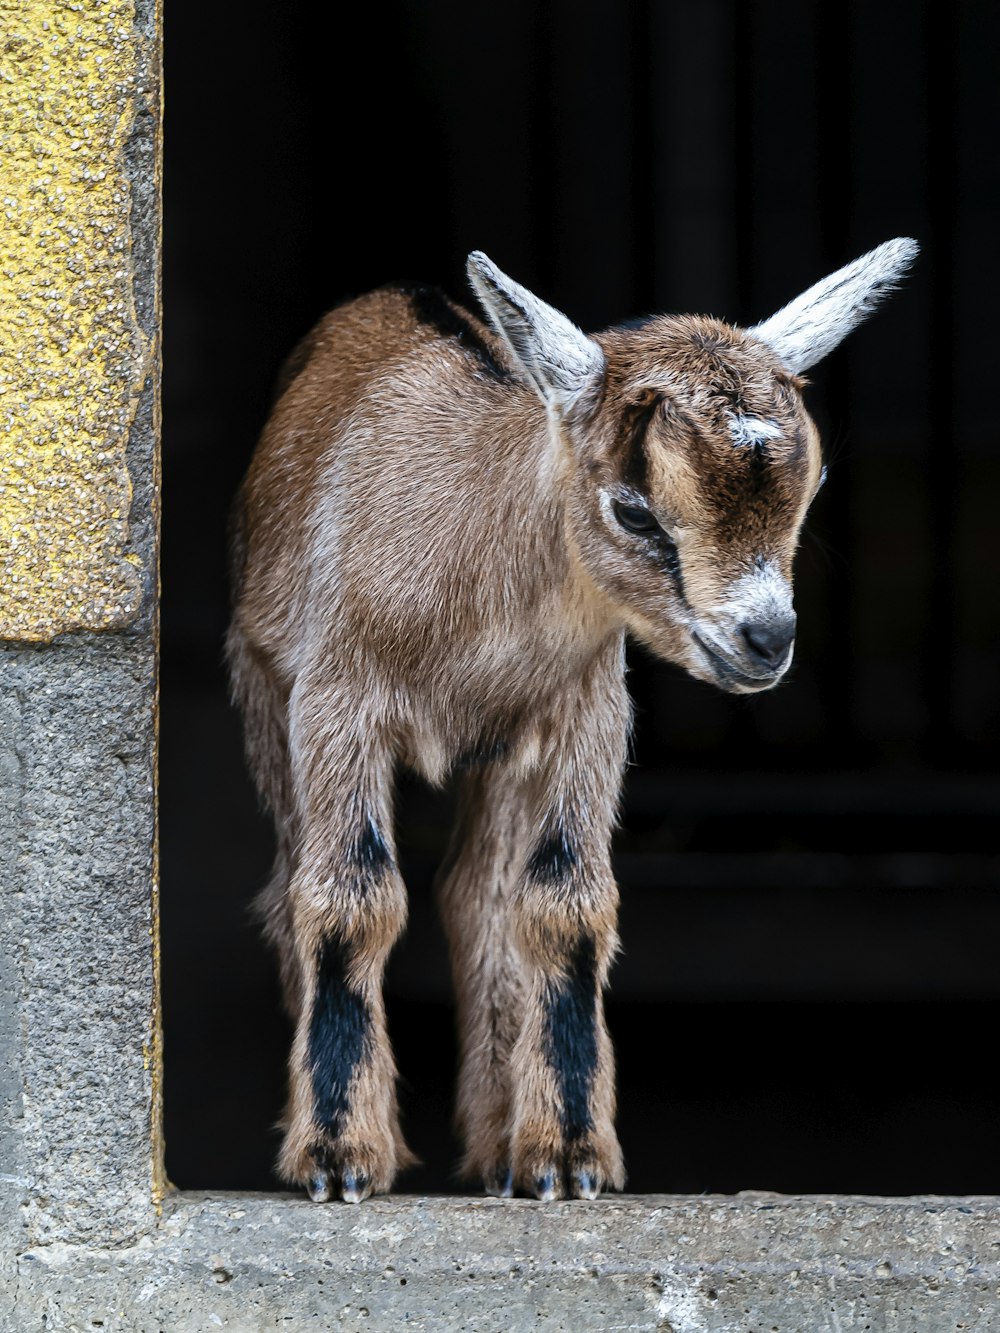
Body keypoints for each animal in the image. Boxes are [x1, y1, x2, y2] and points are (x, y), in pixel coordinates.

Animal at [230, 234, 922, 1205]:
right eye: (633, 508)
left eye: (812, 481)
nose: (766, 639)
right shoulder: (335, 701)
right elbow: (348, 897)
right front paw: (341, 1158)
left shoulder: (584, 714)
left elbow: (565, 903)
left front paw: (566, 1154)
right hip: (265, 693)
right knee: (297, 879)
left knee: (476, 889)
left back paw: (496, 1146)